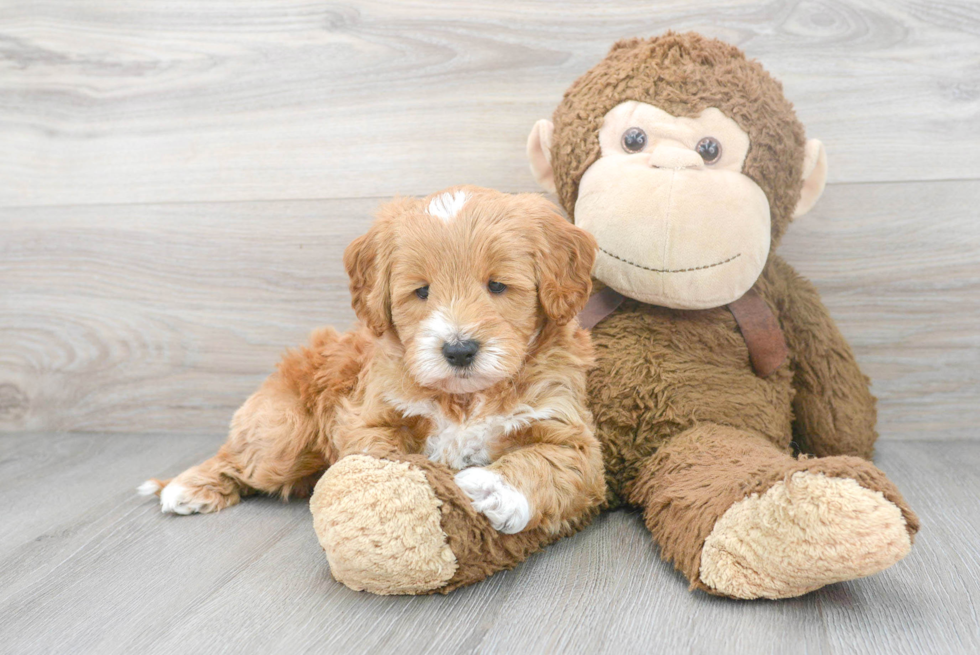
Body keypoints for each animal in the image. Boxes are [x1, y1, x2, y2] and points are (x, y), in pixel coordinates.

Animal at [140, 187, 604, 536]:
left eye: (497, 285)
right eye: (422, 291)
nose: (458, 350)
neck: (465, 399)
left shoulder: (567, 430)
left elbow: (548, 462)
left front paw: (492, 489)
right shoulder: (369, 415)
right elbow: (380, 453)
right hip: (282, 432)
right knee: (238, 457)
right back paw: (186, 486)